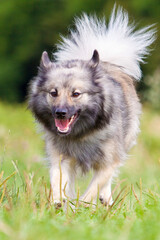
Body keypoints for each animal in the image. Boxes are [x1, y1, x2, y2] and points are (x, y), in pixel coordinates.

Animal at [28, 6, 156, 205]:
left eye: (76, 94)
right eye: (53, 93)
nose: (60, 113)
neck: (81, 134)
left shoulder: (109, 161)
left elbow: (94, 187)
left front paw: (82, 205)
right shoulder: (61, 157)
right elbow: (58, 180)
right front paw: (60, 202)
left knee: (106, 182)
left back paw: (105, 199)